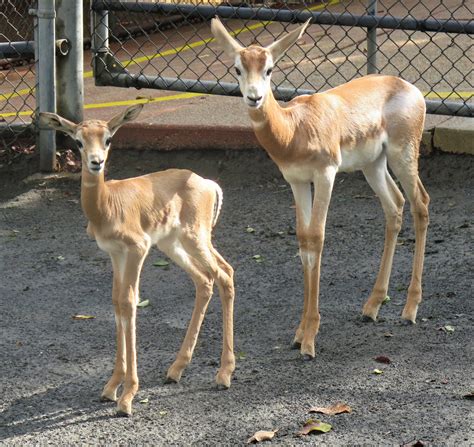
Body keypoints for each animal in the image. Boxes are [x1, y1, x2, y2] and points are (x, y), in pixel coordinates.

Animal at [39, 104, 235, 416]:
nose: (96, 162)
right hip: (173, 244)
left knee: (224, 274)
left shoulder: (137, 249)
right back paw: (175, 369)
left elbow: (130, 302)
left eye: (108, 139)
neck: (106, 204)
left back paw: (224, 374)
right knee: (206, 280)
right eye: (79, 141)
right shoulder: (115, 253)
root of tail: (207, 183)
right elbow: (117, 302)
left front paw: (127, 396)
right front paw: (111, 387)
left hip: (195, 238)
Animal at [211, 18, 430, 360]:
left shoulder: (325, 174)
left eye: (269, 69)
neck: (294, 128)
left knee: (421, 203)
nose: (254, 97)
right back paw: (371, 306)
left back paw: (410, 310)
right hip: (373, 164)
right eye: (237, 68)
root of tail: (412, 89)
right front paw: (299, 334)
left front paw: (310, 339)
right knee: (394, 206)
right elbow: (303, 241)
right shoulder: (297, 180)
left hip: (403, 154)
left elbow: (317, 237)